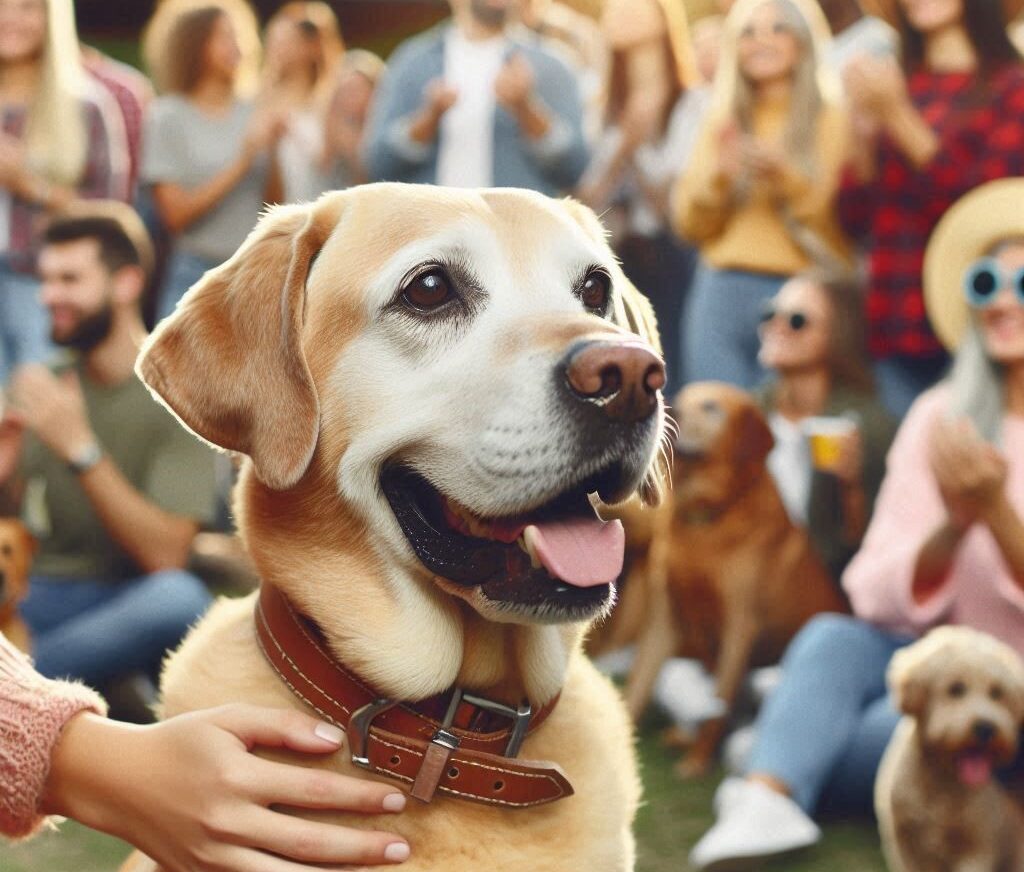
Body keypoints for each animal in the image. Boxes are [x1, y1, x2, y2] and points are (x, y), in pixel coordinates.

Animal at [622, 380, 847, 777]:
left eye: (712, 407)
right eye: (685, 396)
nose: (671, 406)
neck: (704, 525)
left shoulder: (739, 628)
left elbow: (719, 704)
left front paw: (697, 761)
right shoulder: (664, 619)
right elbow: (638, 685)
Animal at [876, 626, 1024, 872]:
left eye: (996, 693)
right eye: (955, 689)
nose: (985, 728)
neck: (943, 780)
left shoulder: (978, 847)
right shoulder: (905, 846)